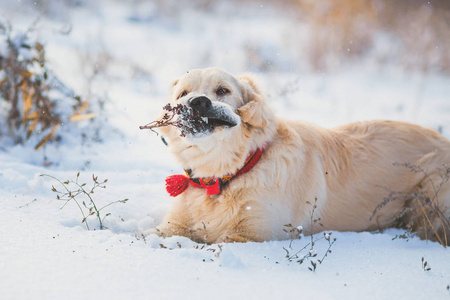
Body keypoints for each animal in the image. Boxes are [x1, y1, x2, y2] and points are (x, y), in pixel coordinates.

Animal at [144, 67, 450, 245]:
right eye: (183, 93)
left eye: (223, 90)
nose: (197, 102)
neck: (223, 175)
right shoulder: (173, 225)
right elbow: (148, 237)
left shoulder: (251, 236)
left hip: (429, 199)